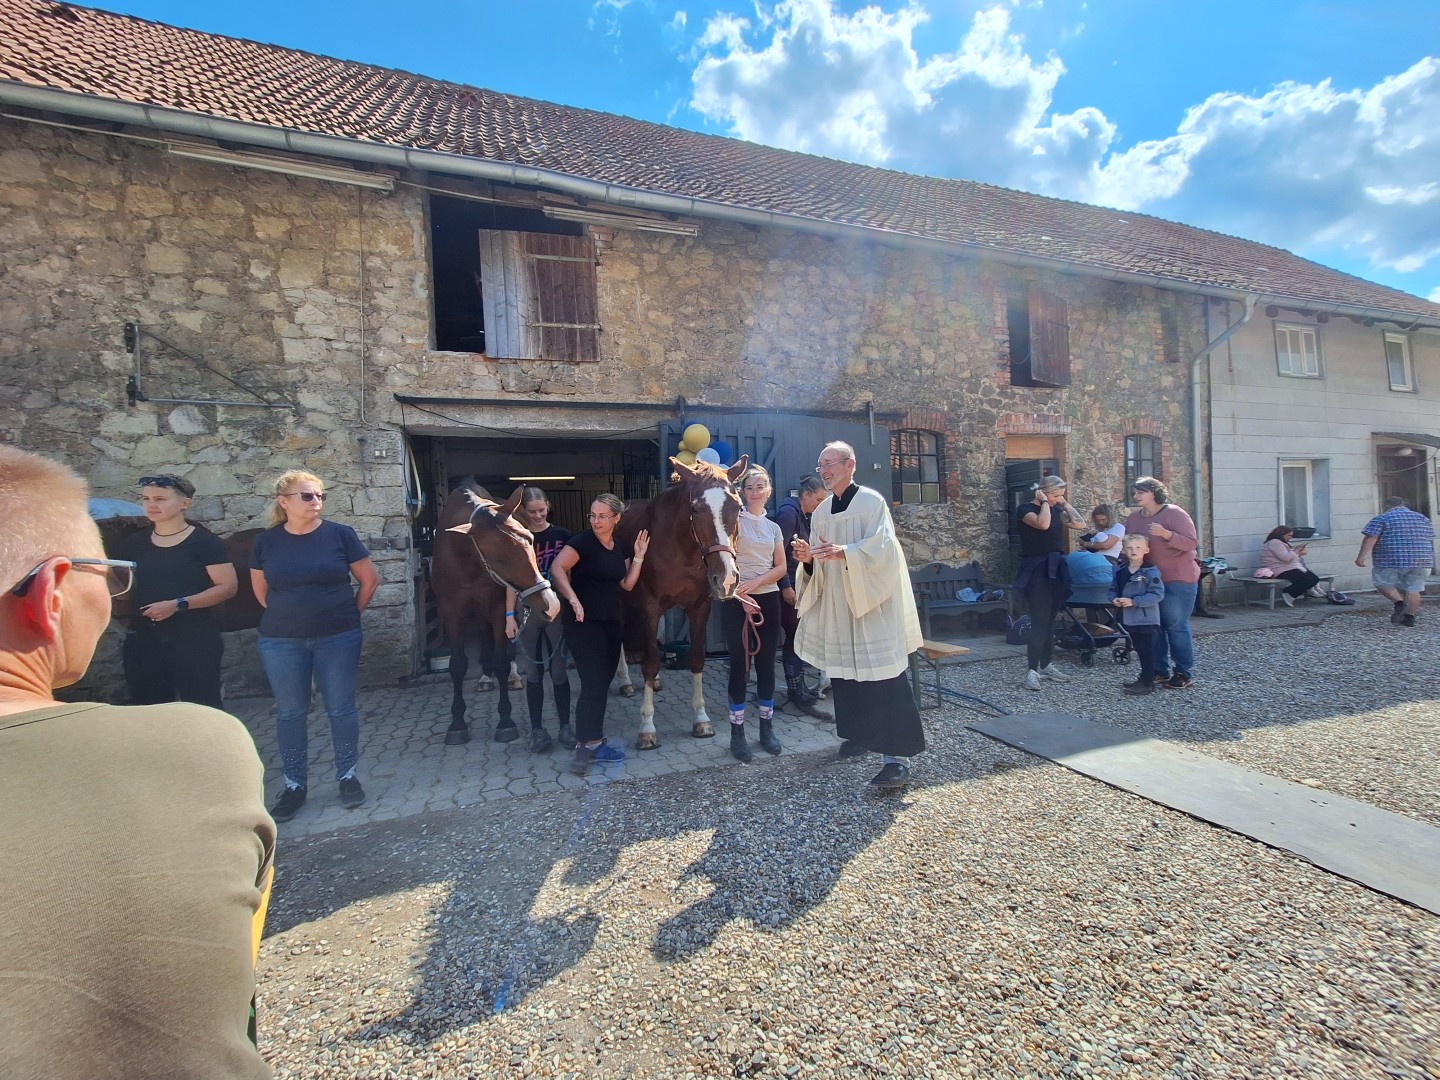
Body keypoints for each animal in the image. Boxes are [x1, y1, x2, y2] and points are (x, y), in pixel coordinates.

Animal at [429, 486, 558, 748]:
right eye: (499, 559)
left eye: (530, 540)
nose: (548, 603)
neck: (466, 560)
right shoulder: (451, 612)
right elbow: (457, 665)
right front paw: (457, 723)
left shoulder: (498, 609)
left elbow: (501, 661)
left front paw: (505, 721)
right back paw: (485, 678)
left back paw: (513, 677)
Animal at [613, 457, 748, 754]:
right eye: (696, 509)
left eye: (738, 507)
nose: (727, 578)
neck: (682, 549)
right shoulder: (651, 606)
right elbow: (651, 662)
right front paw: (647, 728)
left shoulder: (700, 607)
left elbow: (696, 659)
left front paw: (701, 719)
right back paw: (626, 682)